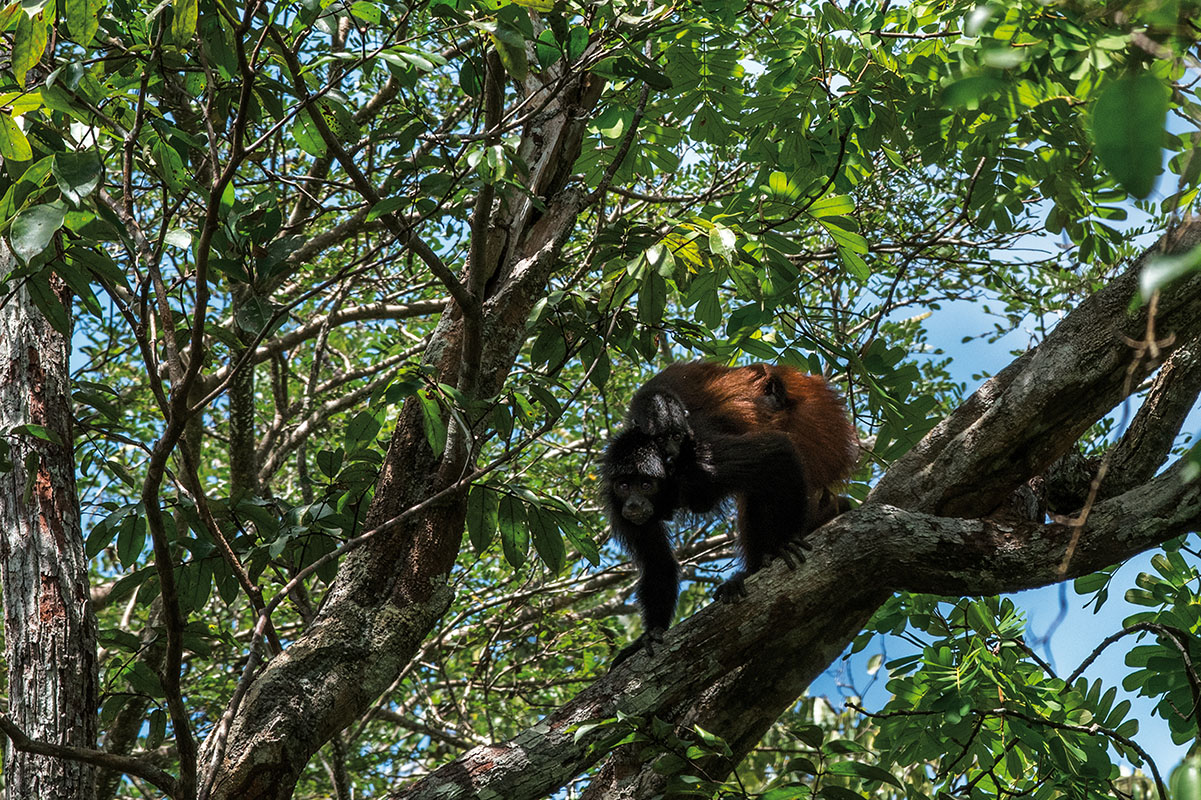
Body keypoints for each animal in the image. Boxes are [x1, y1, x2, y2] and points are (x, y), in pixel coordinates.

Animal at [605, 362, 859, 658]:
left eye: (646, 485)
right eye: (625, 485)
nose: (634, 504)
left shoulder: (702, 459)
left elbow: (778, 452)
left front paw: (787, 542)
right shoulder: (617, 503)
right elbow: (658, 563)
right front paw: (650, 633)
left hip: (815, 424)